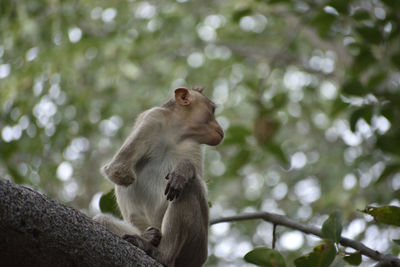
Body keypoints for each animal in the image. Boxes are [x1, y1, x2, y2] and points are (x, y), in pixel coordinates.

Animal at [95, 88, 223, 267]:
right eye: (212, 111)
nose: (220, 127)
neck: (177, 131)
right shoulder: (153, 118)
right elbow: (118, 171)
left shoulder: (193, 144)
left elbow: (199, 182)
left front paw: (184, 169)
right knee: (102, 220)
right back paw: (155, 248)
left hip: (197, 252)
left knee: (189, 186)